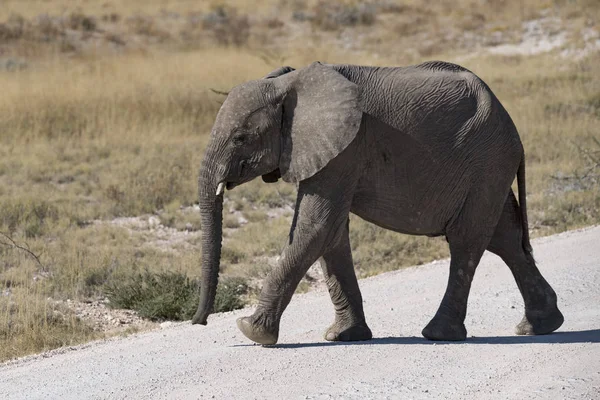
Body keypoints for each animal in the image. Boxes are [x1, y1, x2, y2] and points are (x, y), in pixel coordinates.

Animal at [192, 60, 564, 344]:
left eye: (240, 138)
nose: (199, 322)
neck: (289, 83)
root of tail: (511, 126)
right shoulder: (333, 152)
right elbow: (330, 234)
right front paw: (344, 336)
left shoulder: (347, 148)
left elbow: (316, 228)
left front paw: (251, 332)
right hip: (490, 169)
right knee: (506, 239)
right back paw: (540, 326)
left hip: (487, 160)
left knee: (467, 241)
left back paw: (439, 334)